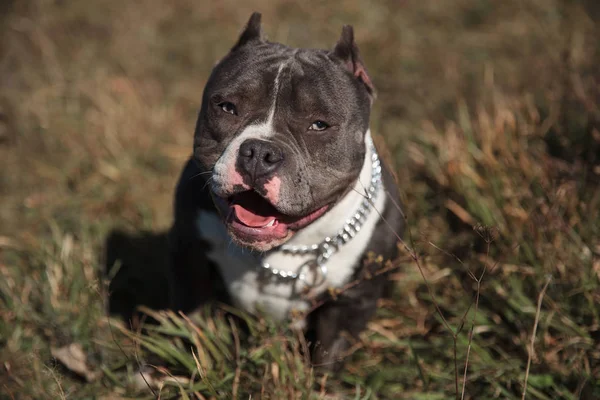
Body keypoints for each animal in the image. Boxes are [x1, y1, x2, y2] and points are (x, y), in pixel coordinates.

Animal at [166, 11, 406, 368]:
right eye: (227, 107)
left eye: (319, 125)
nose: (259, 153)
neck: (284, 250)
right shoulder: (189, 261)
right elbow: (187, 326)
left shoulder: (351, 302)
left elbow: (327, 357)